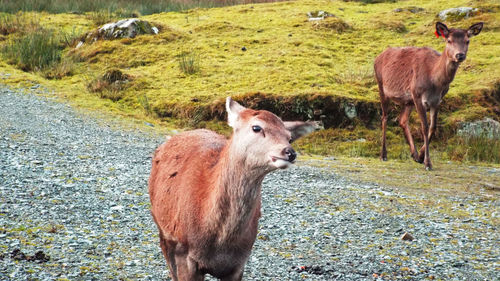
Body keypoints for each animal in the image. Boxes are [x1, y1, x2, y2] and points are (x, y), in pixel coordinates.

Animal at [149, 97, 320, 280]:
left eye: (289, 137)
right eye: (256, 127)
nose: (290, 152)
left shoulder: (239, 263)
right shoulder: (184, 251)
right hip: (162, 229)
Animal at [376, 21, 484, 168]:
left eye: (467, 41)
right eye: (449, 40)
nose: (460, 55)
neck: (435, 81)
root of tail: (378, 57)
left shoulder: (437, 100)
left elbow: (433, 126)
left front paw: (421, 156)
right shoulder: (417, 94)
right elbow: (425, 126)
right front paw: (427, 162)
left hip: (408, 100)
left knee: (402, 119)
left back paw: (414, 155)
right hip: (382, 86)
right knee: (385, 117)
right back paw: (383, 155)